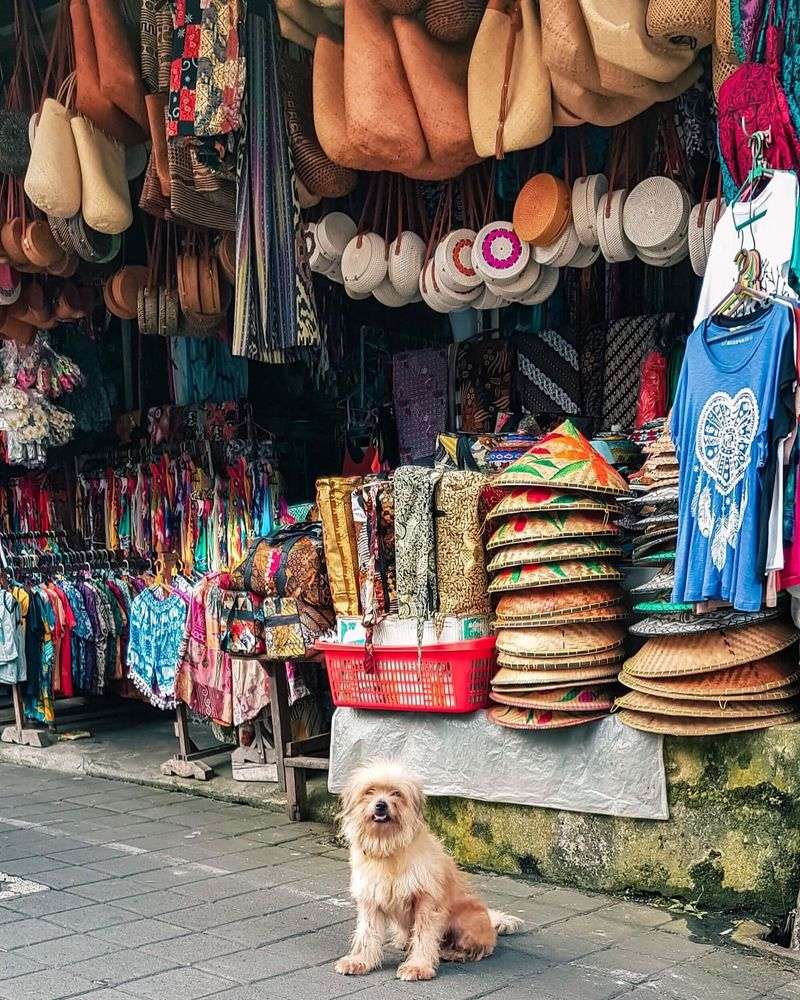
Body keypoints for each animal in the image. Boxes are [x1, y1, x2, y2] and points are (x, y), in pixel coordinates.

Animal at [332, 760, 524, 980]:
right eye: (369, 791)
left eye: (397, 793)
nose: (381, 805)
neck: (389, 849)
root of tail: (490, 923)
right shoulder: (370, 899)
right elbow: (367, 932)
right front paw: (359, 961)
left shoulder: (426, 900)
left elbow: (424, 934)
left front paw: (418, 966)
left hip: (465, 922)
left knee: (481, 948)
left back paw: (451, 953)